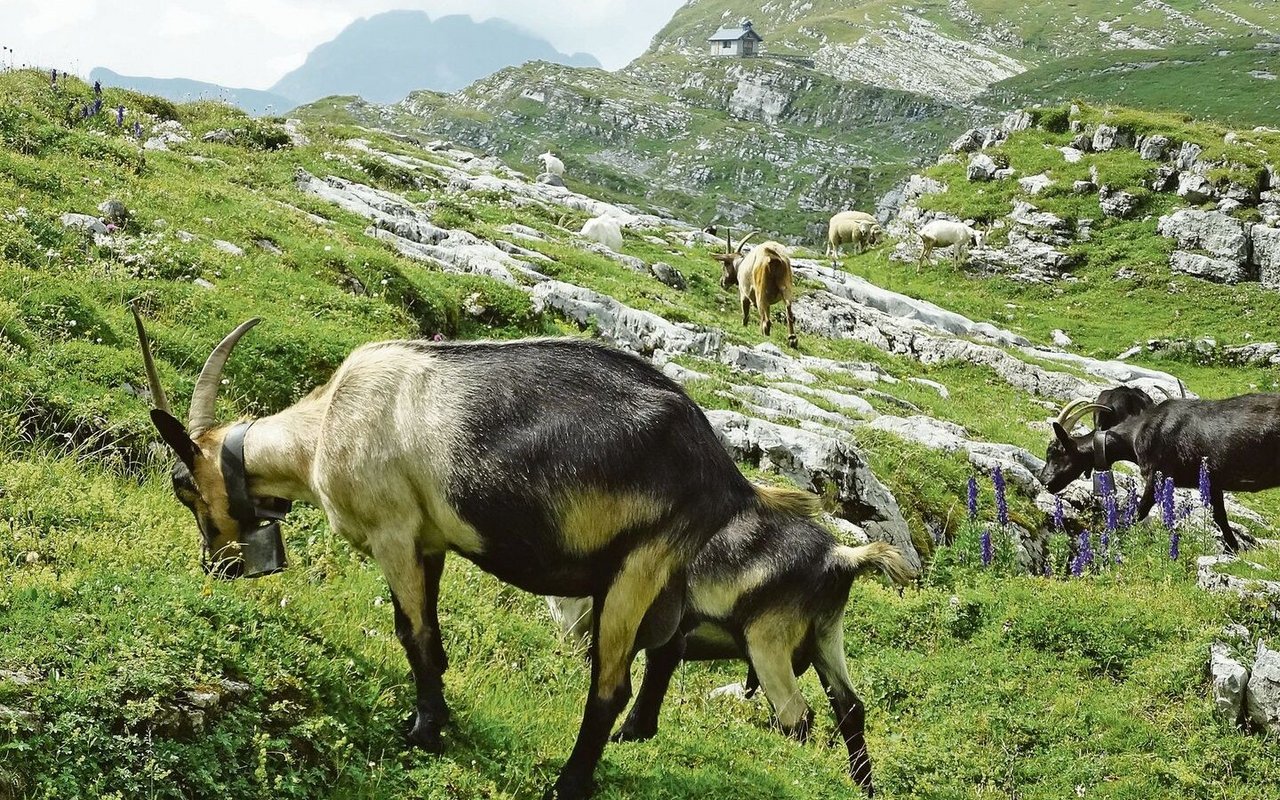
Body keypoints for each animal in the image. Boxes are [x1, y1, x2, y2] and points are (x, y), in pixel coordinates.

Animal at [127, 305, 808, 798]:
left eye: (185, 487)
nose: (217, 565)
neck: (322, 431)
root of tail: (724, 474)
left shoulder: (393, 530)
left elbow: (413, 632)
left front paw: (424, 732)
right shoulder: (429, 541)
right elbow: (432, 633)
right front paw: (440, 717)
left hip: (637, 567)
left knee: (609, 684)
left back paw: (568, 784)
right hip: (665, 579)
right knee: (665, 650)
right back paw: (634, 735)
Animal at [545, 501, 916, 793]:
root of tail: (839, 557)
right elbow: (659, 668)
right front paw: (633, 733)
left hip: (768, 641)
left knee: (797, 715)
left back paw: (793, 772)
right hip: (826, 638)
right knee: (850, 707)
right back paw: (863, 786)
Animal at [1034, 394, 1280, 555]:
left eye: (1055, 451)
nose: (1044, 481)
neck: (1136, 433)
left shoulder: (1156, 474)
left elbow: (1138, 512)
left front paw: (1114, 538)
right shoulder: (1211, 481)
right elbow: (1220, 516)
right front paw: (1234, 549)